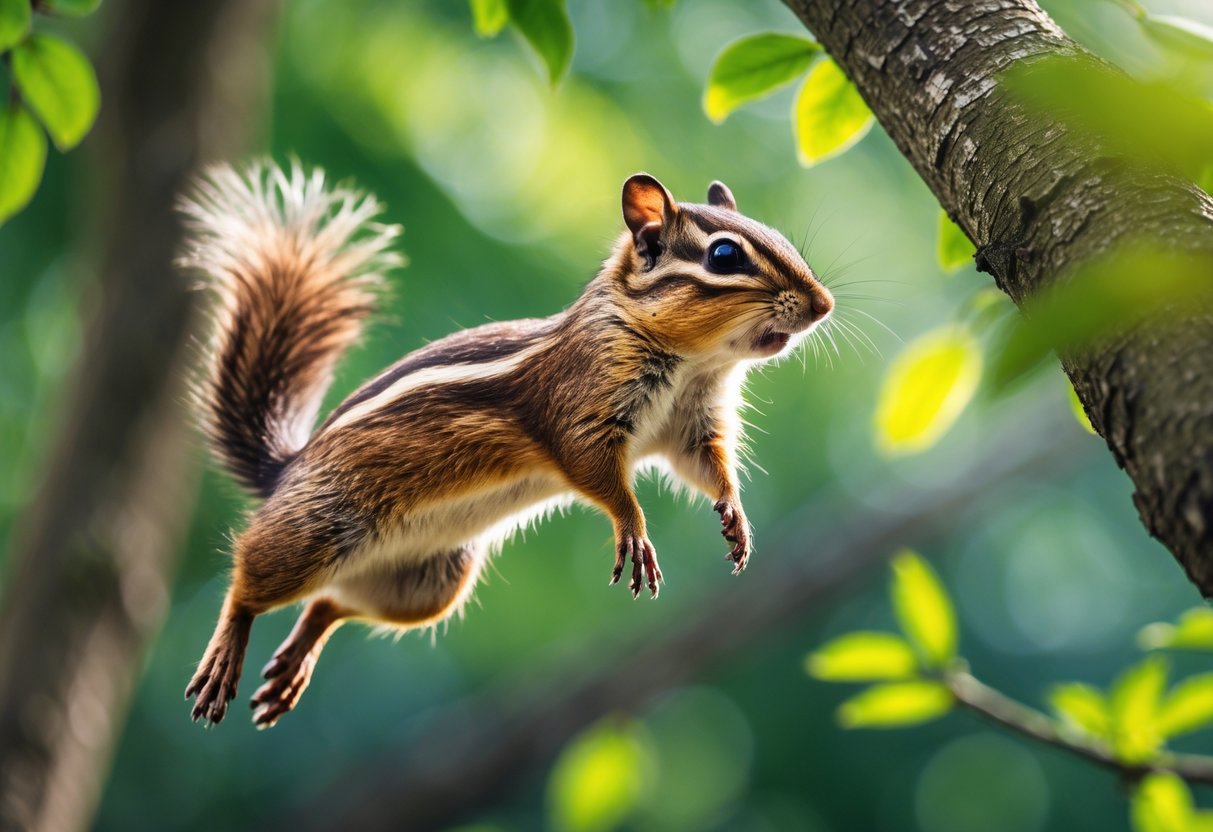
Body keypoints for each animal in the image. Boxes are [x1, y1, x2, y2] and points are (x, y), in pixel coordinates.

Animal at [180, 162, 834, 728]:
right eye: (724, 255)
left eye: (780, 238)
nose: (823, 305)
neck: (695, 362)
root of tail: (284, 470)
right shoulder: (582, 407)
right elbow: (595, 471)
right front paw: (634, 530)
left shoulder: (692, 426)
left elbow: (708, 466)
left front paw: (735, 516)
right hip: (319, 528)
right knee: (250, 577)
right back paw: (226, 652)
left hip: (430, 583)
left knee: (328, 605)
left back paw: (293, 665)